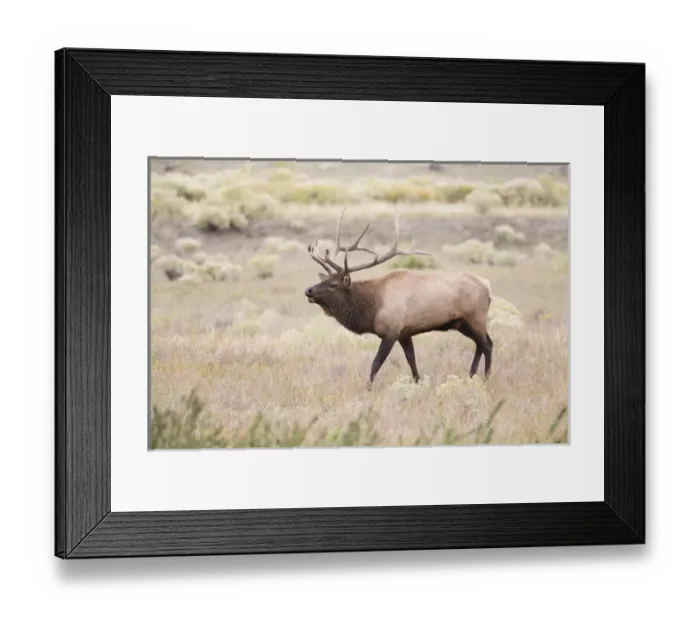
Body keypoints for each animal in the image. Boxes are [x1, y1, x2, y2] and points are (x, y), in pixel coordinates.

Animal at [305, 206, 493, 388]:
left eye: (333, 285)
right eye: (323, 279)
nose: (308, 290)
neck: (372, 308)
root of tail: (487, 288)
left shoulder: (391, 331)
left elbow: (376, 363)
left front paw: (368, 388)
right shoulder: (404, 333)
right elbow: (412, 361)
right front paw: (418, 383)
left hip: (475, 317)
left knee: (487, 345)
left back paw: (486, 379)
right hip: (461, 323)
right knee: (481, 344)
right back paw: (472, 375)